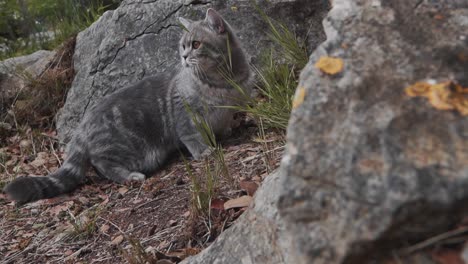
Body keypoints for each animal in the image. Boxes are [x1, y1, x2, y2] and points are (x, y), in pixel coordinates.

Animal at [3, 8, 252, 205]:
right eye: (183, 46)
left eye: (196, 44)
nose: (183, 56)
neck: (222, 83)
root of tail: (82, 125)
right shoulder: (184, 113)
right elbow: (192, 137)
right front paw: (205, 151)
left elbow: (224, 123)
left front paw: (226, 132)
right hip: (128, 150)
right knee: (102, 165)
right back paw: (130, 176)